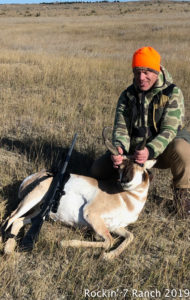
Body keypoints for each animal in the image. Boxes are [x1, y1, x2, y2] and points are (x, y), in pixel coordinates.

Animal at [1, 131, 156, 260]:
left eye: (141, 164)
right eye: (119, 167)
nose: (124, 180)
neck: (127, 199)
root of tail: (36, 176)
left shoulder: (114, 226)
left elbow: (130, 236)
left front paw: (108, 256)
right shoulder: (92, 215)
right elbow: (109, 241)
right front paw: (65, 242)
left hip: (39, 211)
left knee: (17, 221)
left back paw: (11, 250)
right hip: (32, 200)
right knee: (10, 218)